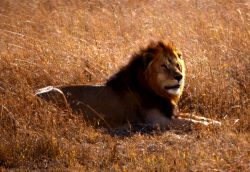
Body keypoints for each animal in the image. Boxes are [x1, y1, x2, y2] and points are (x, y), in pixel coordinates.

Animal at [35, 41, 221, 130]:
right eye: (164, 66)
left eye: (177, 65)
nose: (179, 77)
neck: (156, 91)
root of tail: (33, 94)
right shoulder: (158, 121)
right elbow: (192, 123)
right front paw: (215, 126)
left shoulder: (171, 113)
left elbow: (197, 117)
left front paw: (220, 121)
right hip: (57, 93)